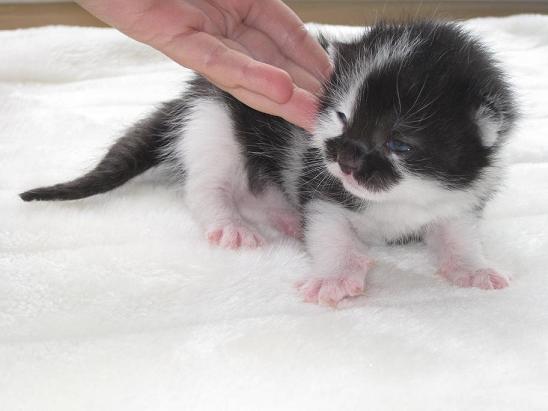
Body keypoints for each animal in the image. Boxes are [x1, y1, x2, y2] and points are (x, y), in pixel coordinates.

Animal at [20, 21, 520, 306]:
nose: (342, 157)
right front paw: (334, 276)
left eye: (399, 143)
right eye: (342, 117)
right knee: (207, 186)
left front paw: (472, 266)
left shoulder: (460, 197)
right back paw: (231, 222)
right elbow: (329, 229)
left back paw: (281, 215)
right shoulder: (323, 187)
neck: (402, 199)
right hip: (213, 122)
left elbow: (457, 232)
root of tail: (193, 91)